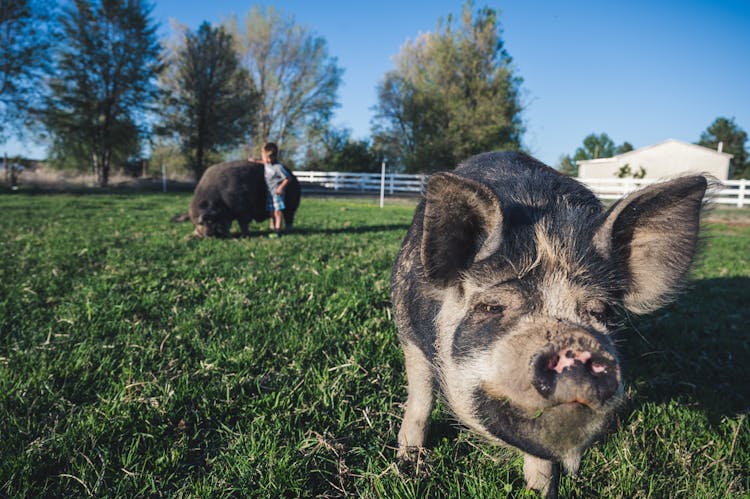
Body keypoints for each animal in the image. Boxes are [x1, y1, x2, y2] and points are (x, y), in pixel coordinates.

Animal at [394, 150, 712, 498]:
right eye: (492, 306)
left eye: (602, 311)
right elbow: (422, 394)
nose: (573, 342)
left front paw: (539, 489)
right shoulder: (407, 329)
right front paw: (406, 463)